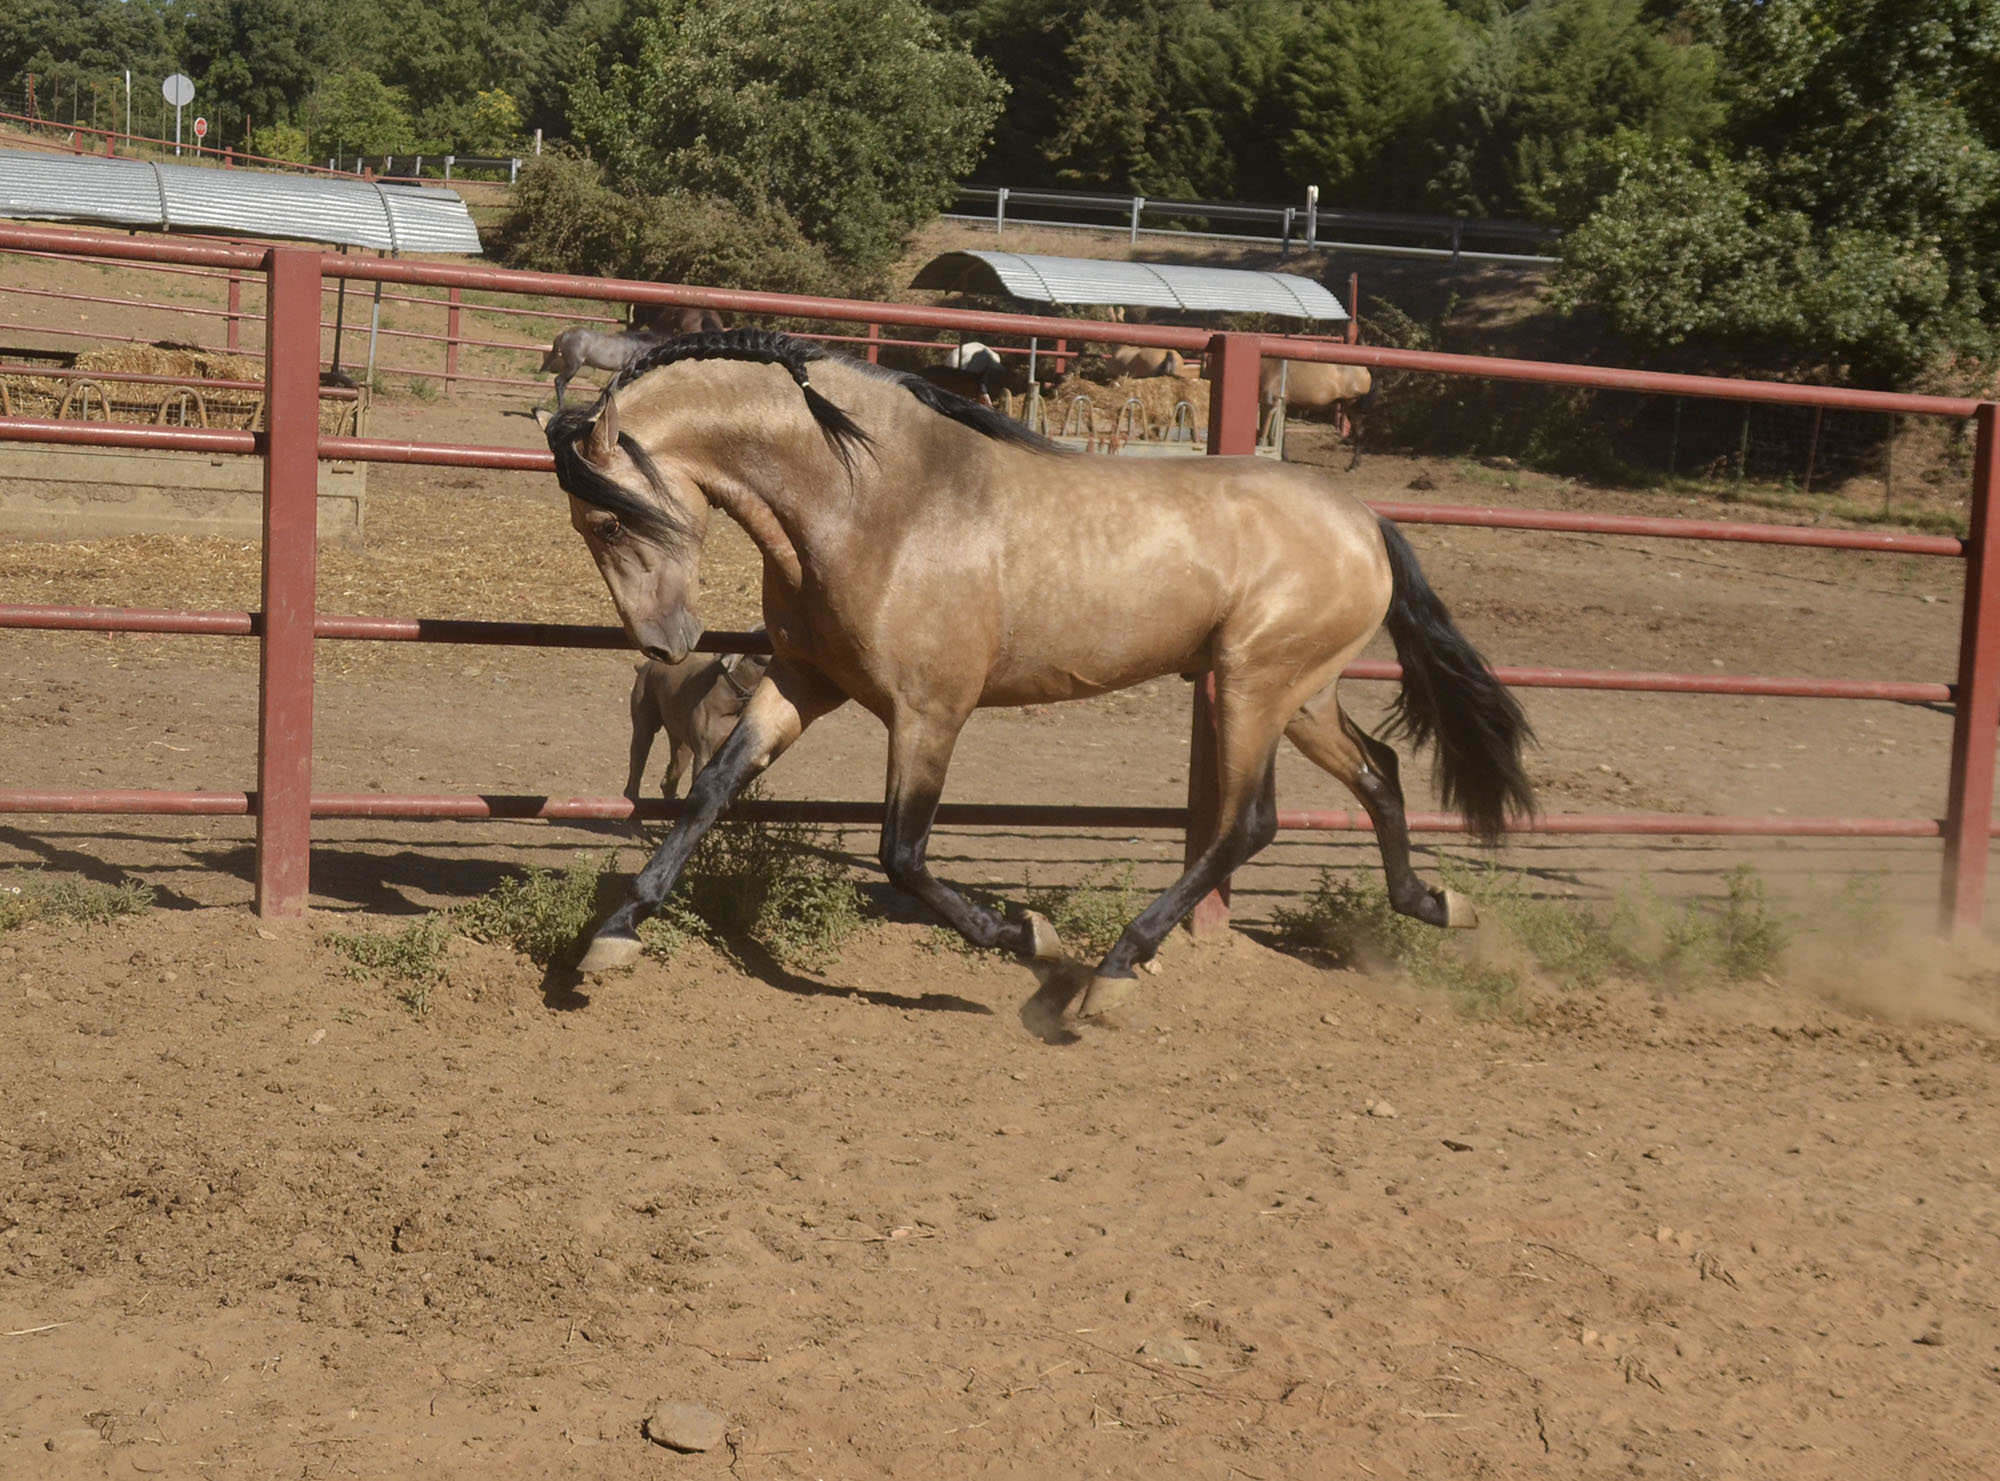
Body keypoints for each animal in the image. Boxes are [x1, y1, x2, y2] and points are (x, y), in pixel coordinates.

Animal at [536, 326, 1528, 1016]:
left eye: (613, 517)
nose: (668, 643)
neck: (878, 500)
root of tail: (1365, 520)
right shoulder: (808, 680)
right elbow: (712, 789)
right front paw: (611, 938)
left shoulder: (930, 710)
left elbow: (902, 852)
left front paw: (1031, 938)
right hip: (1300, 694)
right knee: (1378, 773)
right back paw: (1437, 904)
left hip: (1254, 686)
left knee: (1246, 824)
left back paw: (1111, 973)